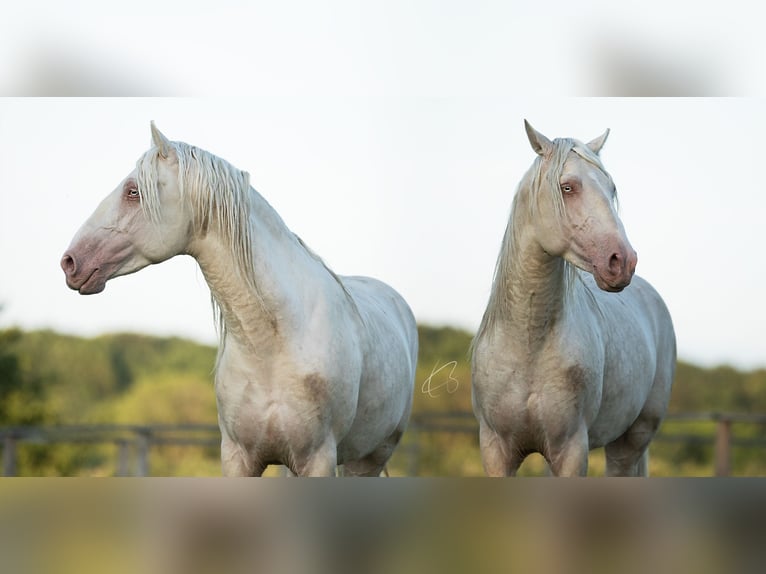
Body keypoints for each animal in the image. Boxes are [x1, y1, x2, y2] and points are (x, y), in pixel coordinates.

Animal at [62, 124, 416, 480]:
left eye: (133, 191)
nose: (70, 262)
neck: (272, 344)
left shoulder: (318, 459)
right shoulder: (238, 458)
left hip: (368, 460)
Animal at [474, 124, 680, 480]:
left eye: (611, 188)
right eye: (567, 187)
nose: (622, 261)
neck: (528, 340)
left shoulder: (571, 450)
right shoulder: (496, 451)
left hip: (630, 442)